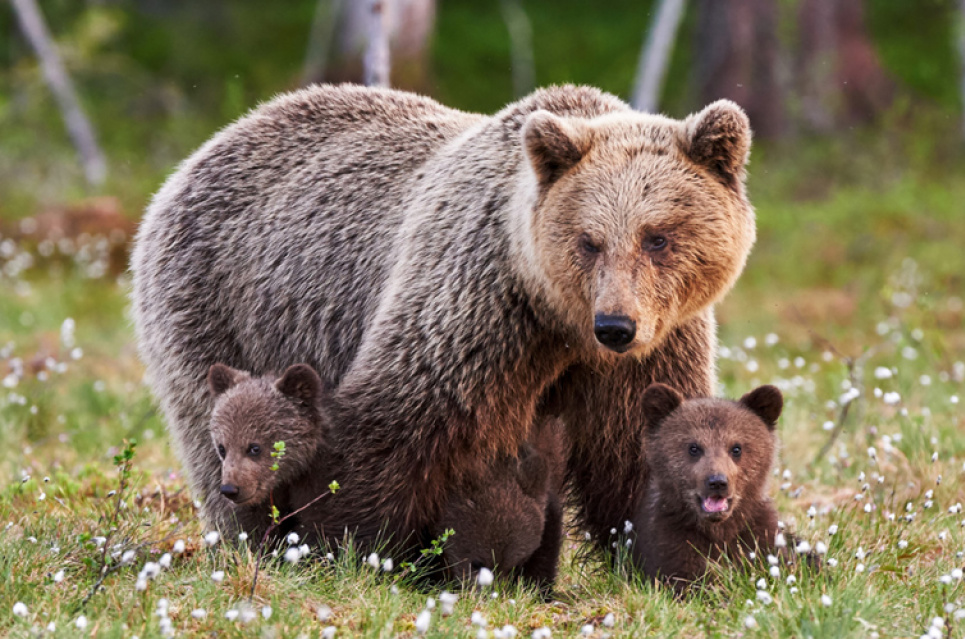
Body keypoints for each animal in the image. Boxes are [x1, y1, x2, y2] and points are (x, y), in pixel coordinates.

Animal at [132, 85, 756, 556]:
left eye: (658, 238)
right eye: (588, 240)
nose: (616, 326)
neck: (558, 322)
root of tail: (208, 147)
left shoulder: (653, 347)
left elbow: (641, 445)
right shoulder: (476, 306)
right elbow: (396, 425)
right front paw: (353, 547)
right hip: (220, 305)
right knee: (223, 427)